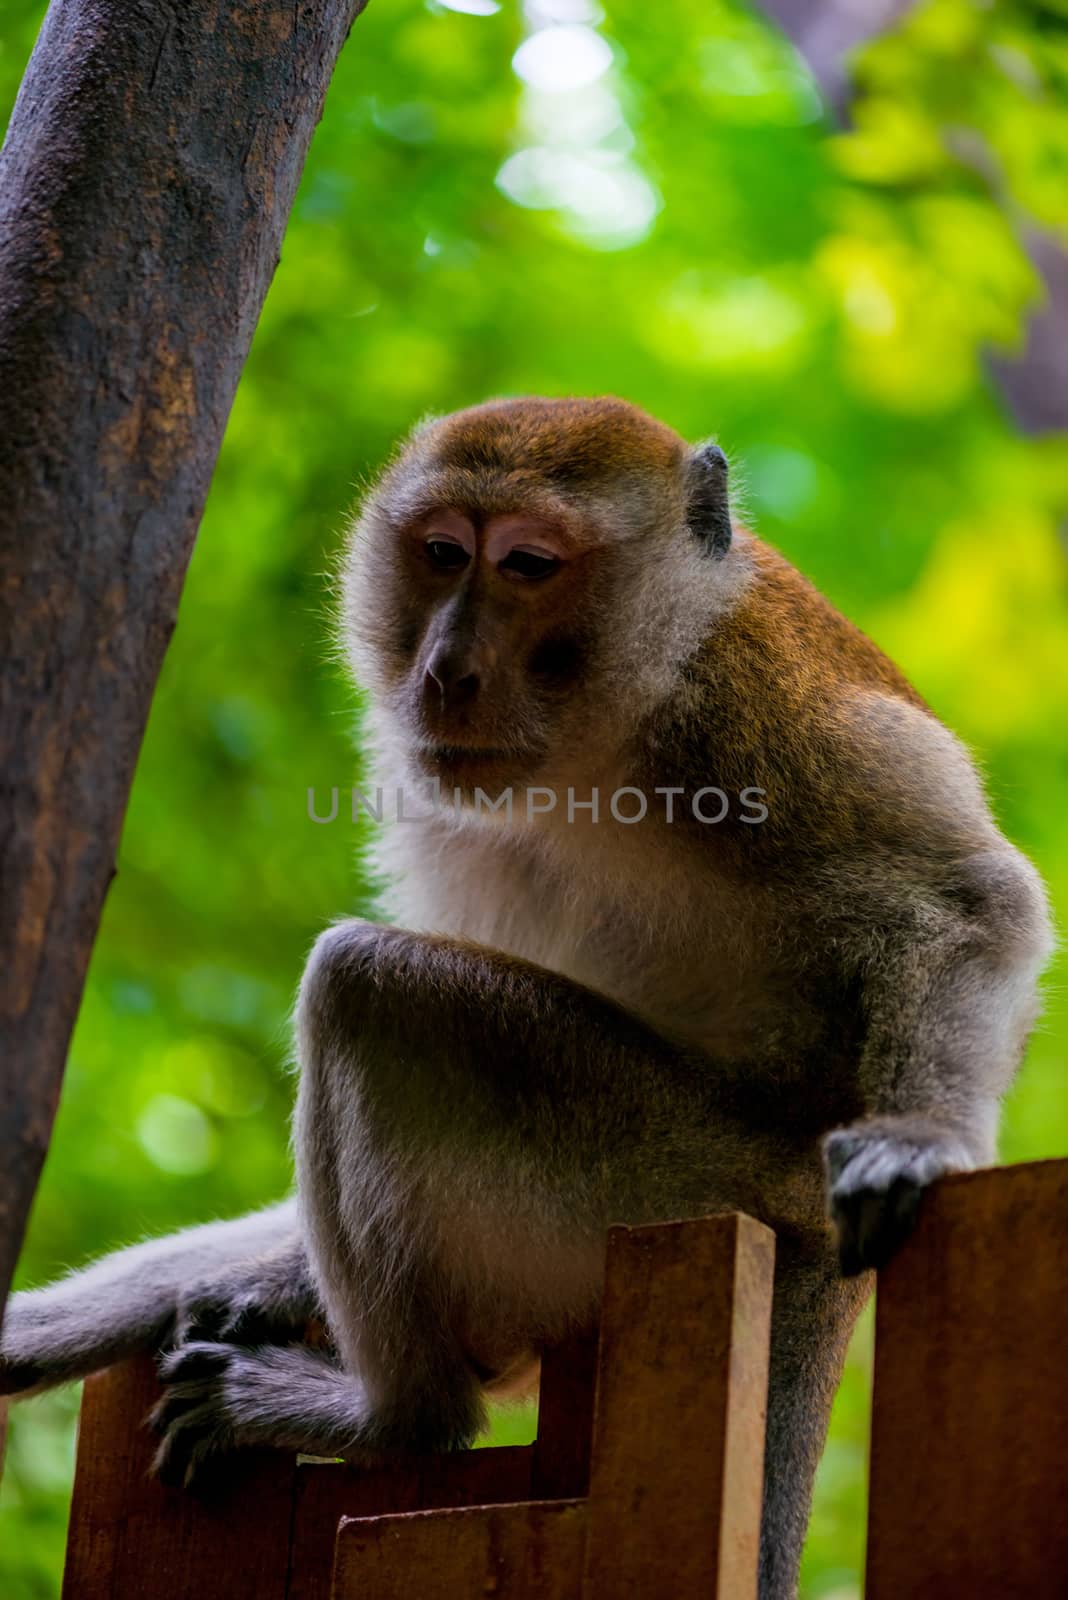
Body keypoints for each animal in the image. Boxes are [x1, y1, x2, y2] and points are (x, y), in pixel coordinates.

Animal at [0, 390, 1048, 1600]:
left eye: (530, 565)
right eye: (443, 554)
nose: (446, 669)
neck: (612, 716)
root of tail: (814, 1264)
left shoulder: (752, 722)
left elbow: (967, 901)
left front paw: (919, 1140)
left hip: (666, 1182)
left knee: (365, 987)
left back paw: (399, 1419)